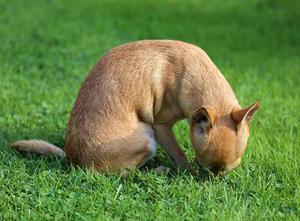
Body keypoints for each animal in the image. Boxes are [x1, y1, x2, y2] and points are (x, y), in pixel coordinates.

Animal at [10, 39, 258, 174]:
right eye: (201, 163)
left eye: (229, 168)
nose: (214, 178)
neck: (193, 72)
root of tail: (74, 161)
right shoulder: (161, 126)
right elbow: (178, 155)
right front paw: (190, 174)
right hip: (147, 137)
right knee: (126, 175)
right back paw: (157, 171)